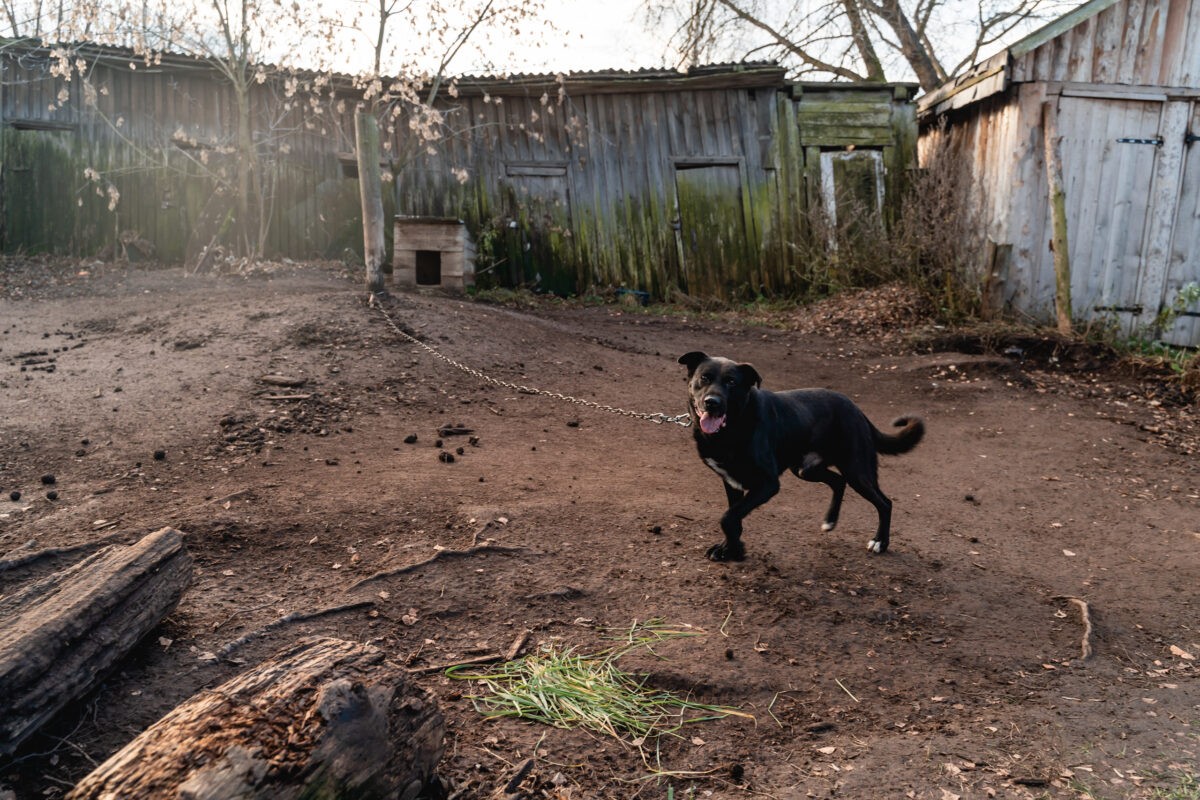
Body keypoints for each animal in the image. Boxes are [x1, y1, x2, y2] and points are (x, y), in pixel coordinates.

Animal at [681, 350, 921, 563]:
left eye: (731, 382)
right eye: (704, 378)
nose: (712, 402)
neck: (734, 426)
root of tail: (858, 411)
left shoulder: (768, 483)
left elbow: (728, 518)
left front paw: (733, 549)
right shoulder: (732, 482)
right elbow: (733, 518)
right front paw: (730, 550)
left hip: (857, 470)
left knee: (885, 503)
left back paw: (880, 542)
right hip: (806, 469)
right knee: (838, 481)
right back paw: (830, 521)